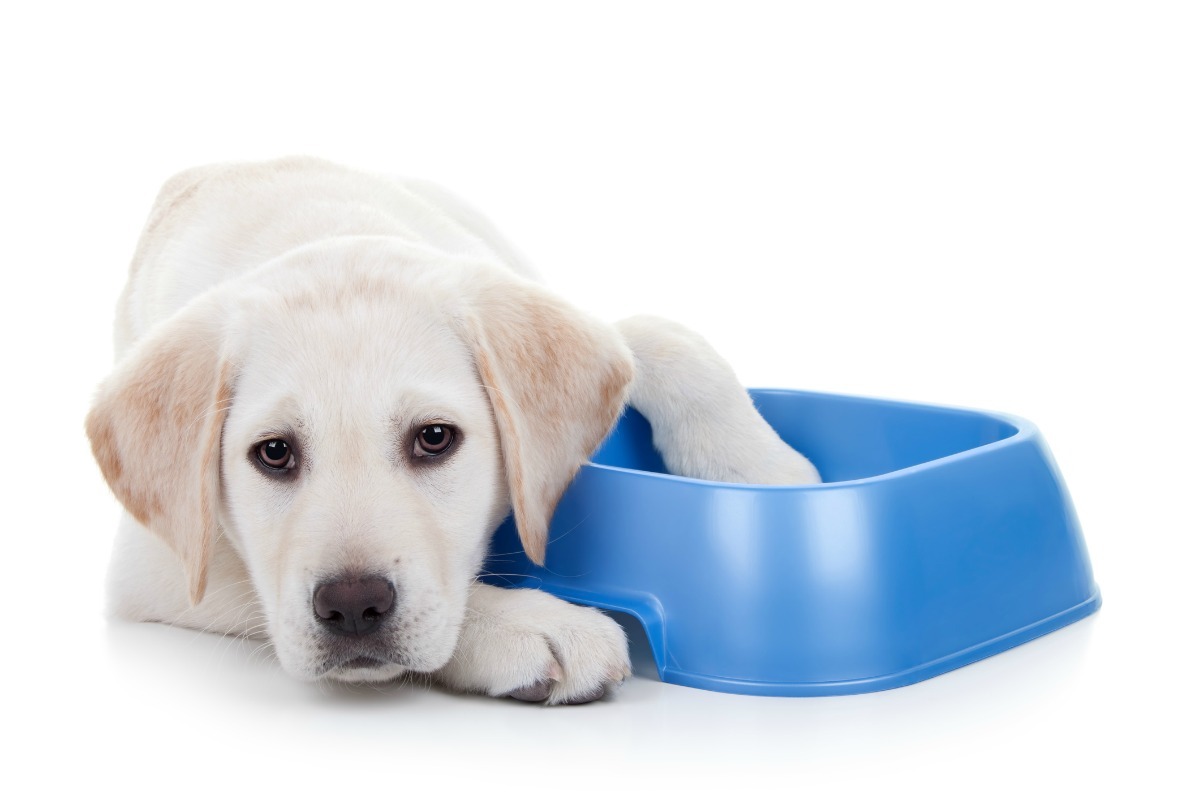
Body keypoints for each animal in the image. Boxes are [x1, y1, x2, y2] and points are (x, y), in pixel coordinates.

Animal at [88, 158, 820, 705]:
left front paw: (765, 472)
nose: (352, 608)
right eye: (273, 453)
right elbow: (259, 586)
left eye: (434, 439)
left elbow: (655, 333)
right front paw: (528, 622)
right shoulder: (159, 563)